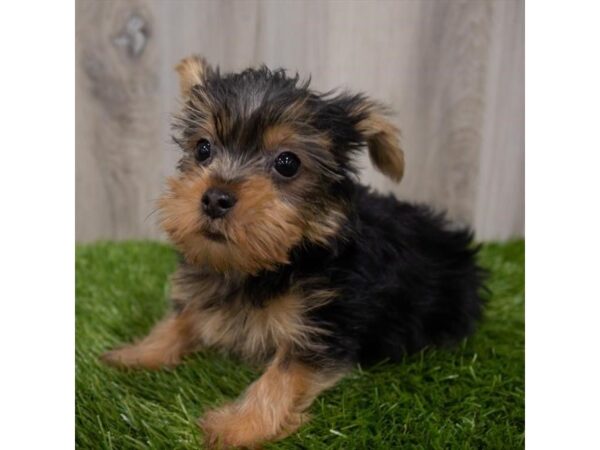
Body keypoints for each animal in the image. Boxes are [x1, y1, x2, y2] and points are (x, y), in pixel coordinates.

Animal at [102, 55, 488, 446]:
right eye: (203, 149)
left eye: (288, 163)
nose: (215, 197)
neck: (273, 262)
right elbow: (181, 319)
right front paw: (138, 353)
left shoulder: (323, 326)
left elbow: (283, 375)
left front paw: (238, 426)